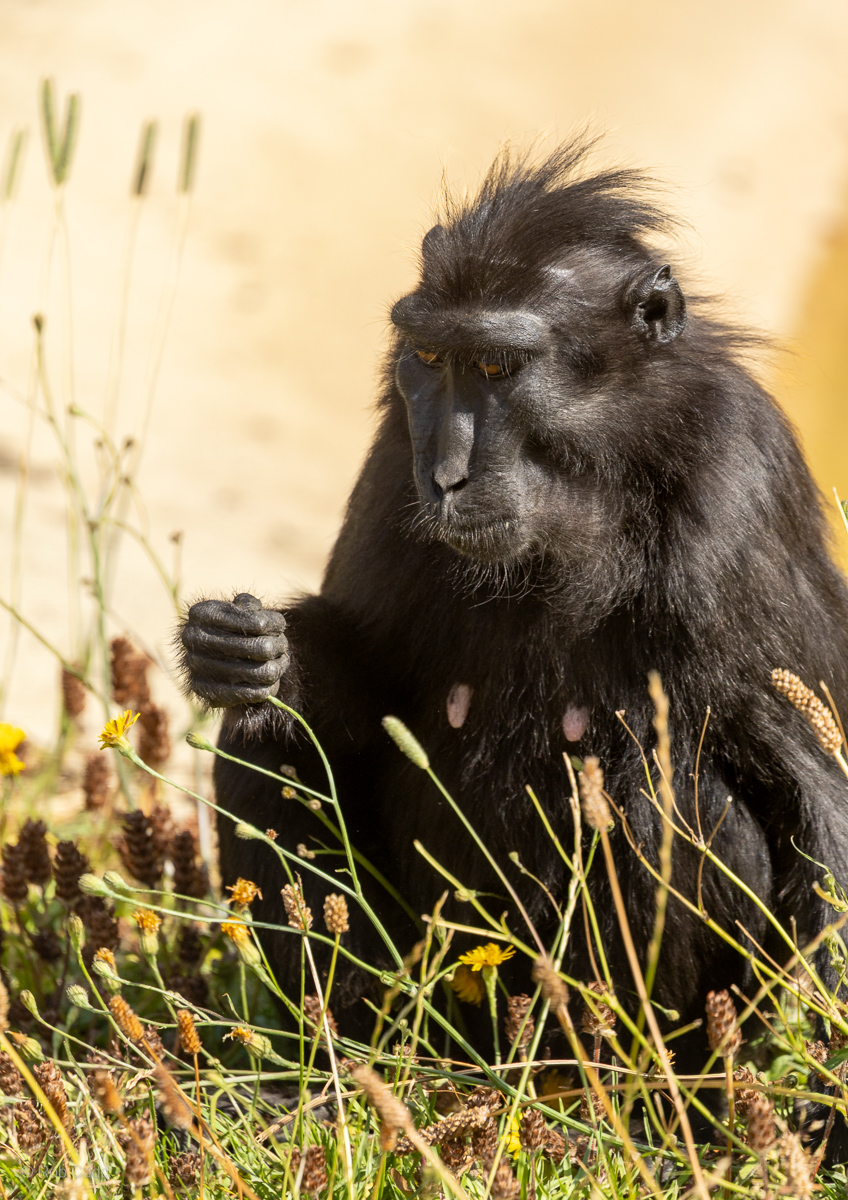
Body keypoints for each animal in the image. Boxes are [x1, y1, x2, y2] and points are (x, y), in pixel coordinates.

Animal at [180, 139, 848, 1150]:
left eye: (498, 366)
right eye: (430, 357)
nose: (448, 475)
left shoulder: (736, 483)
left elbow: (812, 784)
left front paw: (799, 1106)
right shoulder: (393, 451)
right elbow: (359, 691)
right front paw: (251, 653)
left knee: (667, 791)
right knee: (268, 745)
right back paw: (338, 1074)